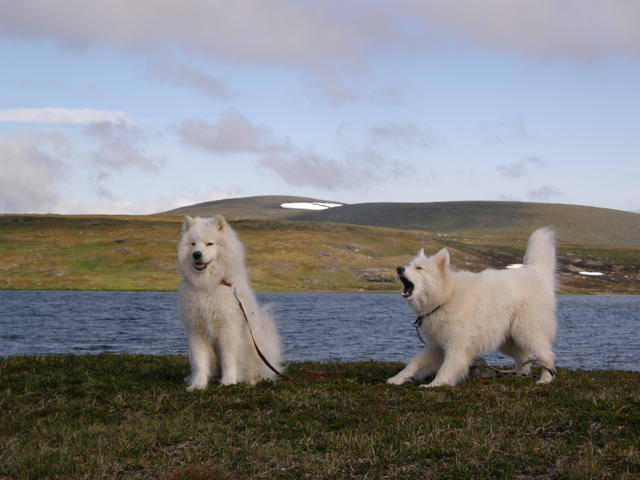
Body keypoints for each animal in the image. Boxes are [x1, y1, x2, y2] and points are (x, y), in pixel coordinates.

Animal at [177, 215, 283, 390]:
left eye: (209, 244)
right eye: (192, 244)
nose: (196, 254)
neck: (208, 285)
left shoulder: (227, 330)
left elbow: (228, 360)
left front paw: (228, 381)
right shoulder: (197, 331)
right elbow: (200, 362)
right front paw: (198, 385)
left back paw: (250, 380)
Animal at [387, 227, 557, 387]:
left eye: (419, 268)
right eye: (409, 265)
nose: (399, 268)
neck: (446, 297)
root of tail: (535, 272)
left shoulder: (456, 346)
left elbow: (446, 368)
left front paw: (435, 384)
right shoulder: (436, 346)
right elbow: (413, 364)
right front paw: (396, 379)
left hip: (527, 332)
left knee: (546, 357)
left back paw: (545, 379)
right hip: (507, 339)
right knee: (525, 358)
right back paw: (519, 375)